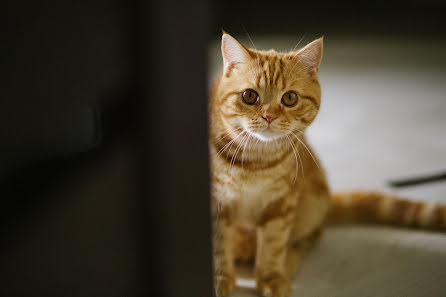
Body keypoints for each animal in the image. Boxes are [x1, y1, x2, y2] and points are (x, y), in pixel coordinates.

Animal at [209, 32, 446, 296]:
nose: (269, 116)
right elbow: (219, 247)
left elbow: (273, 243)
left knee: (313, 235)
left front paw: (271, 276)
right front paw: (219, 277)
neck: (256, 162)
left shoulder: (282, 204)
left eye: (289, 98)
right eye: (249, 96)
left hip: (312, 202)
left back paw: (287, 262)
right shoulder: (216, 204)